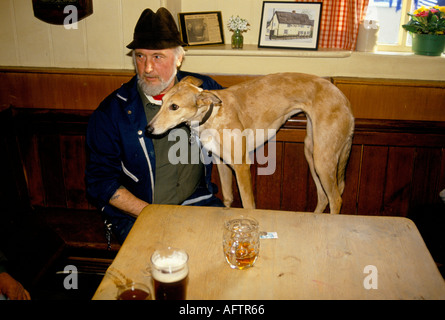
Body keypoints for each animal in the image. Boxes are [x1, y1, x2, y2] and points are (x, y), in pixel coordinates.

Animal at [147, 72, 352, 212]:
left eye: (174, 106)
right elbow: (228, 198)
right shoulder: (222, 164)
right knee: (324, 197)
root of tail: (344, 99)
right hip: (311, 153)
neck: (213, 113)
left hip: (322, 159)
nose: (148, 129)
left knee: (336, 199)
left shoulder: (241, 166)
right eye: (162, 101)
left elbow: (247, 205)